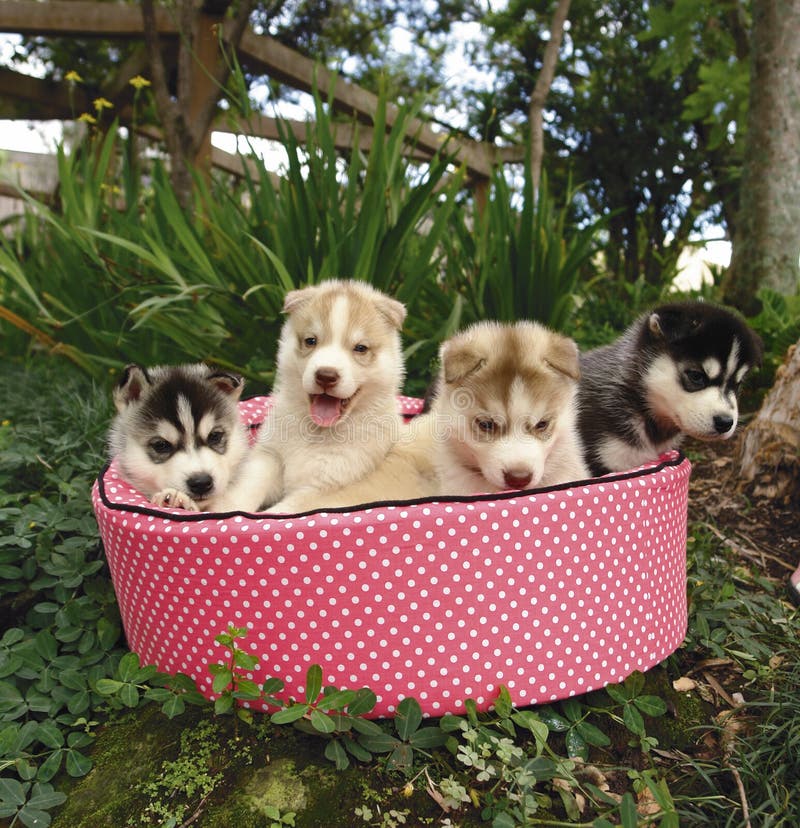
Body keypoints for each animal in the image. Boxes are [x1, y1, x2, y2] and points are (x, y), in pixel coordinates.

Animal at [220, 280, 416, 512]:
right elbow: (247, 487)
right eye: (311, 341)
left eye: (360, 348)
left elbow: (280, 512)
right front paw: (223, 510)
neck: (317, 432)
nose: (326, 375)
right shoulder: (270, 456)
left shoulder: (324, 487)